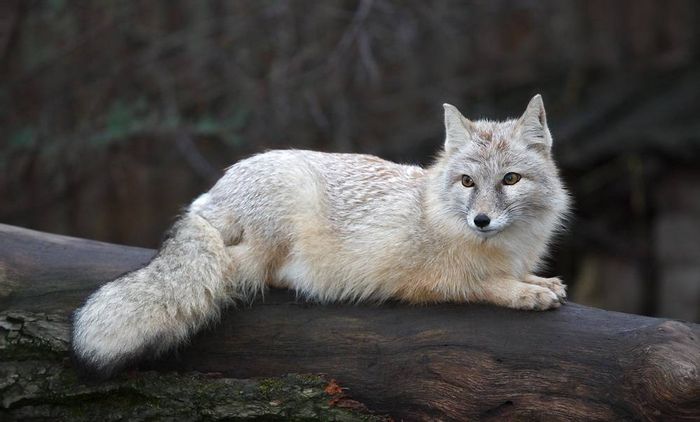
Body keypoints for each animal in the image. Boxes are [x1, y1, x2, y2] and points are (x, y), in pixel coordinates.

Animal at [74, 95, 572, 376]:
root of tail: (211, 194)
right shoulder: (428, 278)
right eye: (468, 183)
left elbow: (517, 274)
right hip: (274, 221)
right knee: (235, 273)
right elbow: (481, 283)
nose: (481, 221)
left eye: (510, 180)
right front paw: (522, 292)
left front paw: (537, 281)